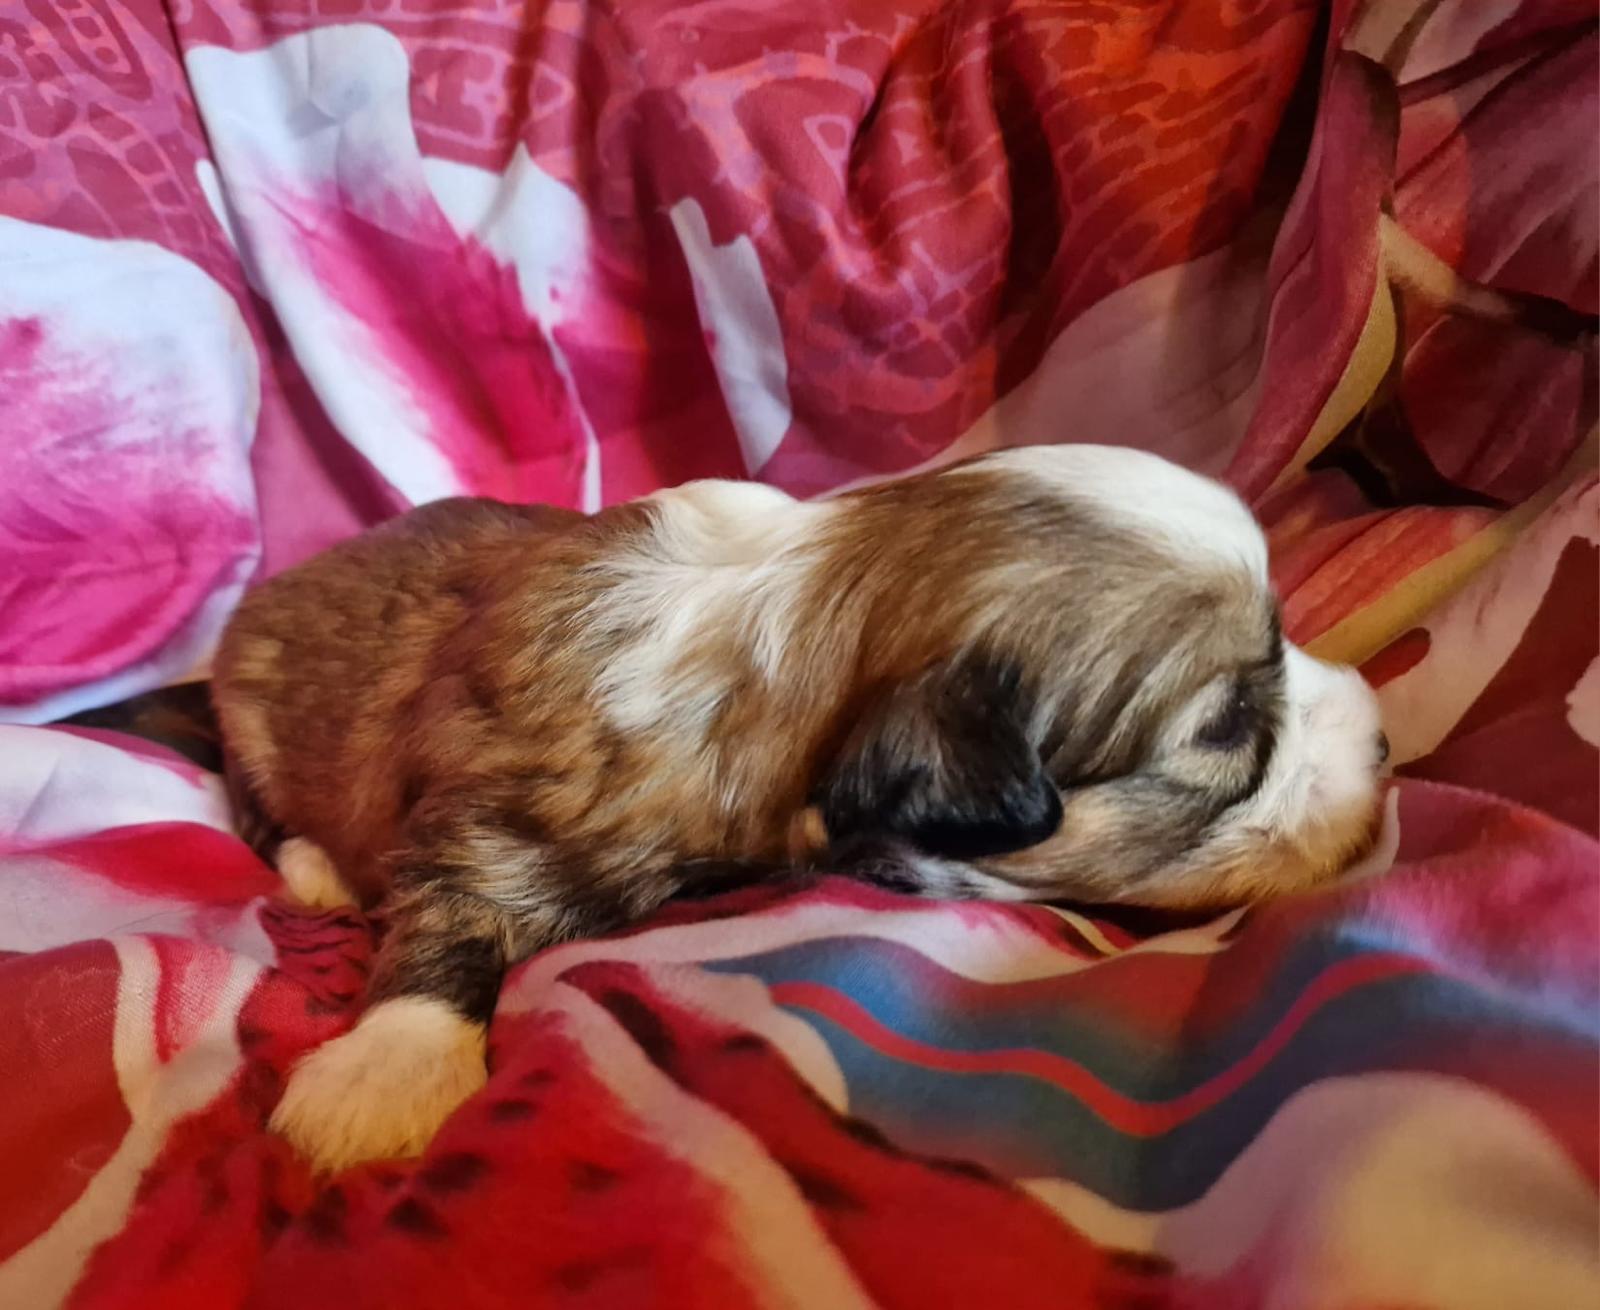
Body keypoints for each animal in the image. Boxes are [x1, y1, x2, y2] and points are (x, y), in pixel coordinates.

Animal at [211, 444, 1387, 1172]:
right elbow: (455, 911)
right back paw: (316, 864)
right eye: (1226, 727)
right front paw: (385, 1071)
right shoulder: (502, 810)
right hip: (251, 707)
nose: (1381, 743)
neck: (805, 616)